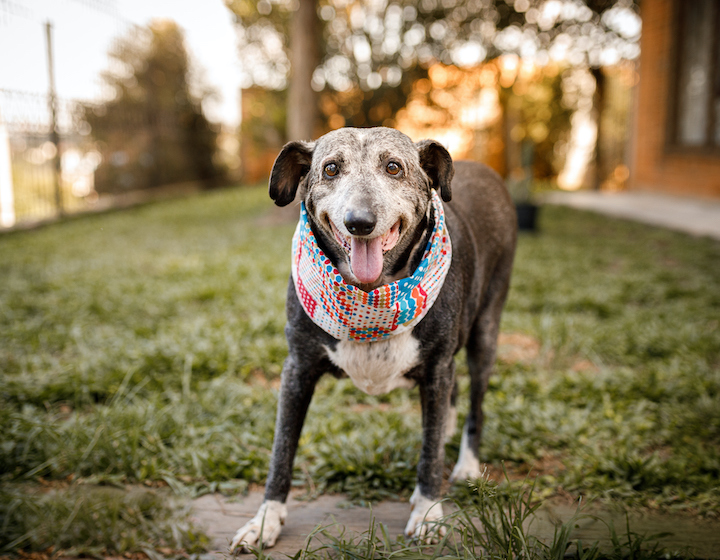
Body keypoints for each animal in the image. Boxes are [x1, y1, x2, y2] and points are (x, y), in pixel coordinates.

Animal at [231, 127, 516, 552]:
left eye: (393, 167)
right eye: (331, 168)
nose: (359, 222)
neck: (370, 296)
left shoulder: (437, 368)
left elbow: (430, 456)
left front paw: (428, 513)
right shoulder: (297, 369)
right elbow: (281, 451)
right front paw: (265, 521)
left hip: (486, 332)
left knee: (475, 404)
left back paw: (465, 463)